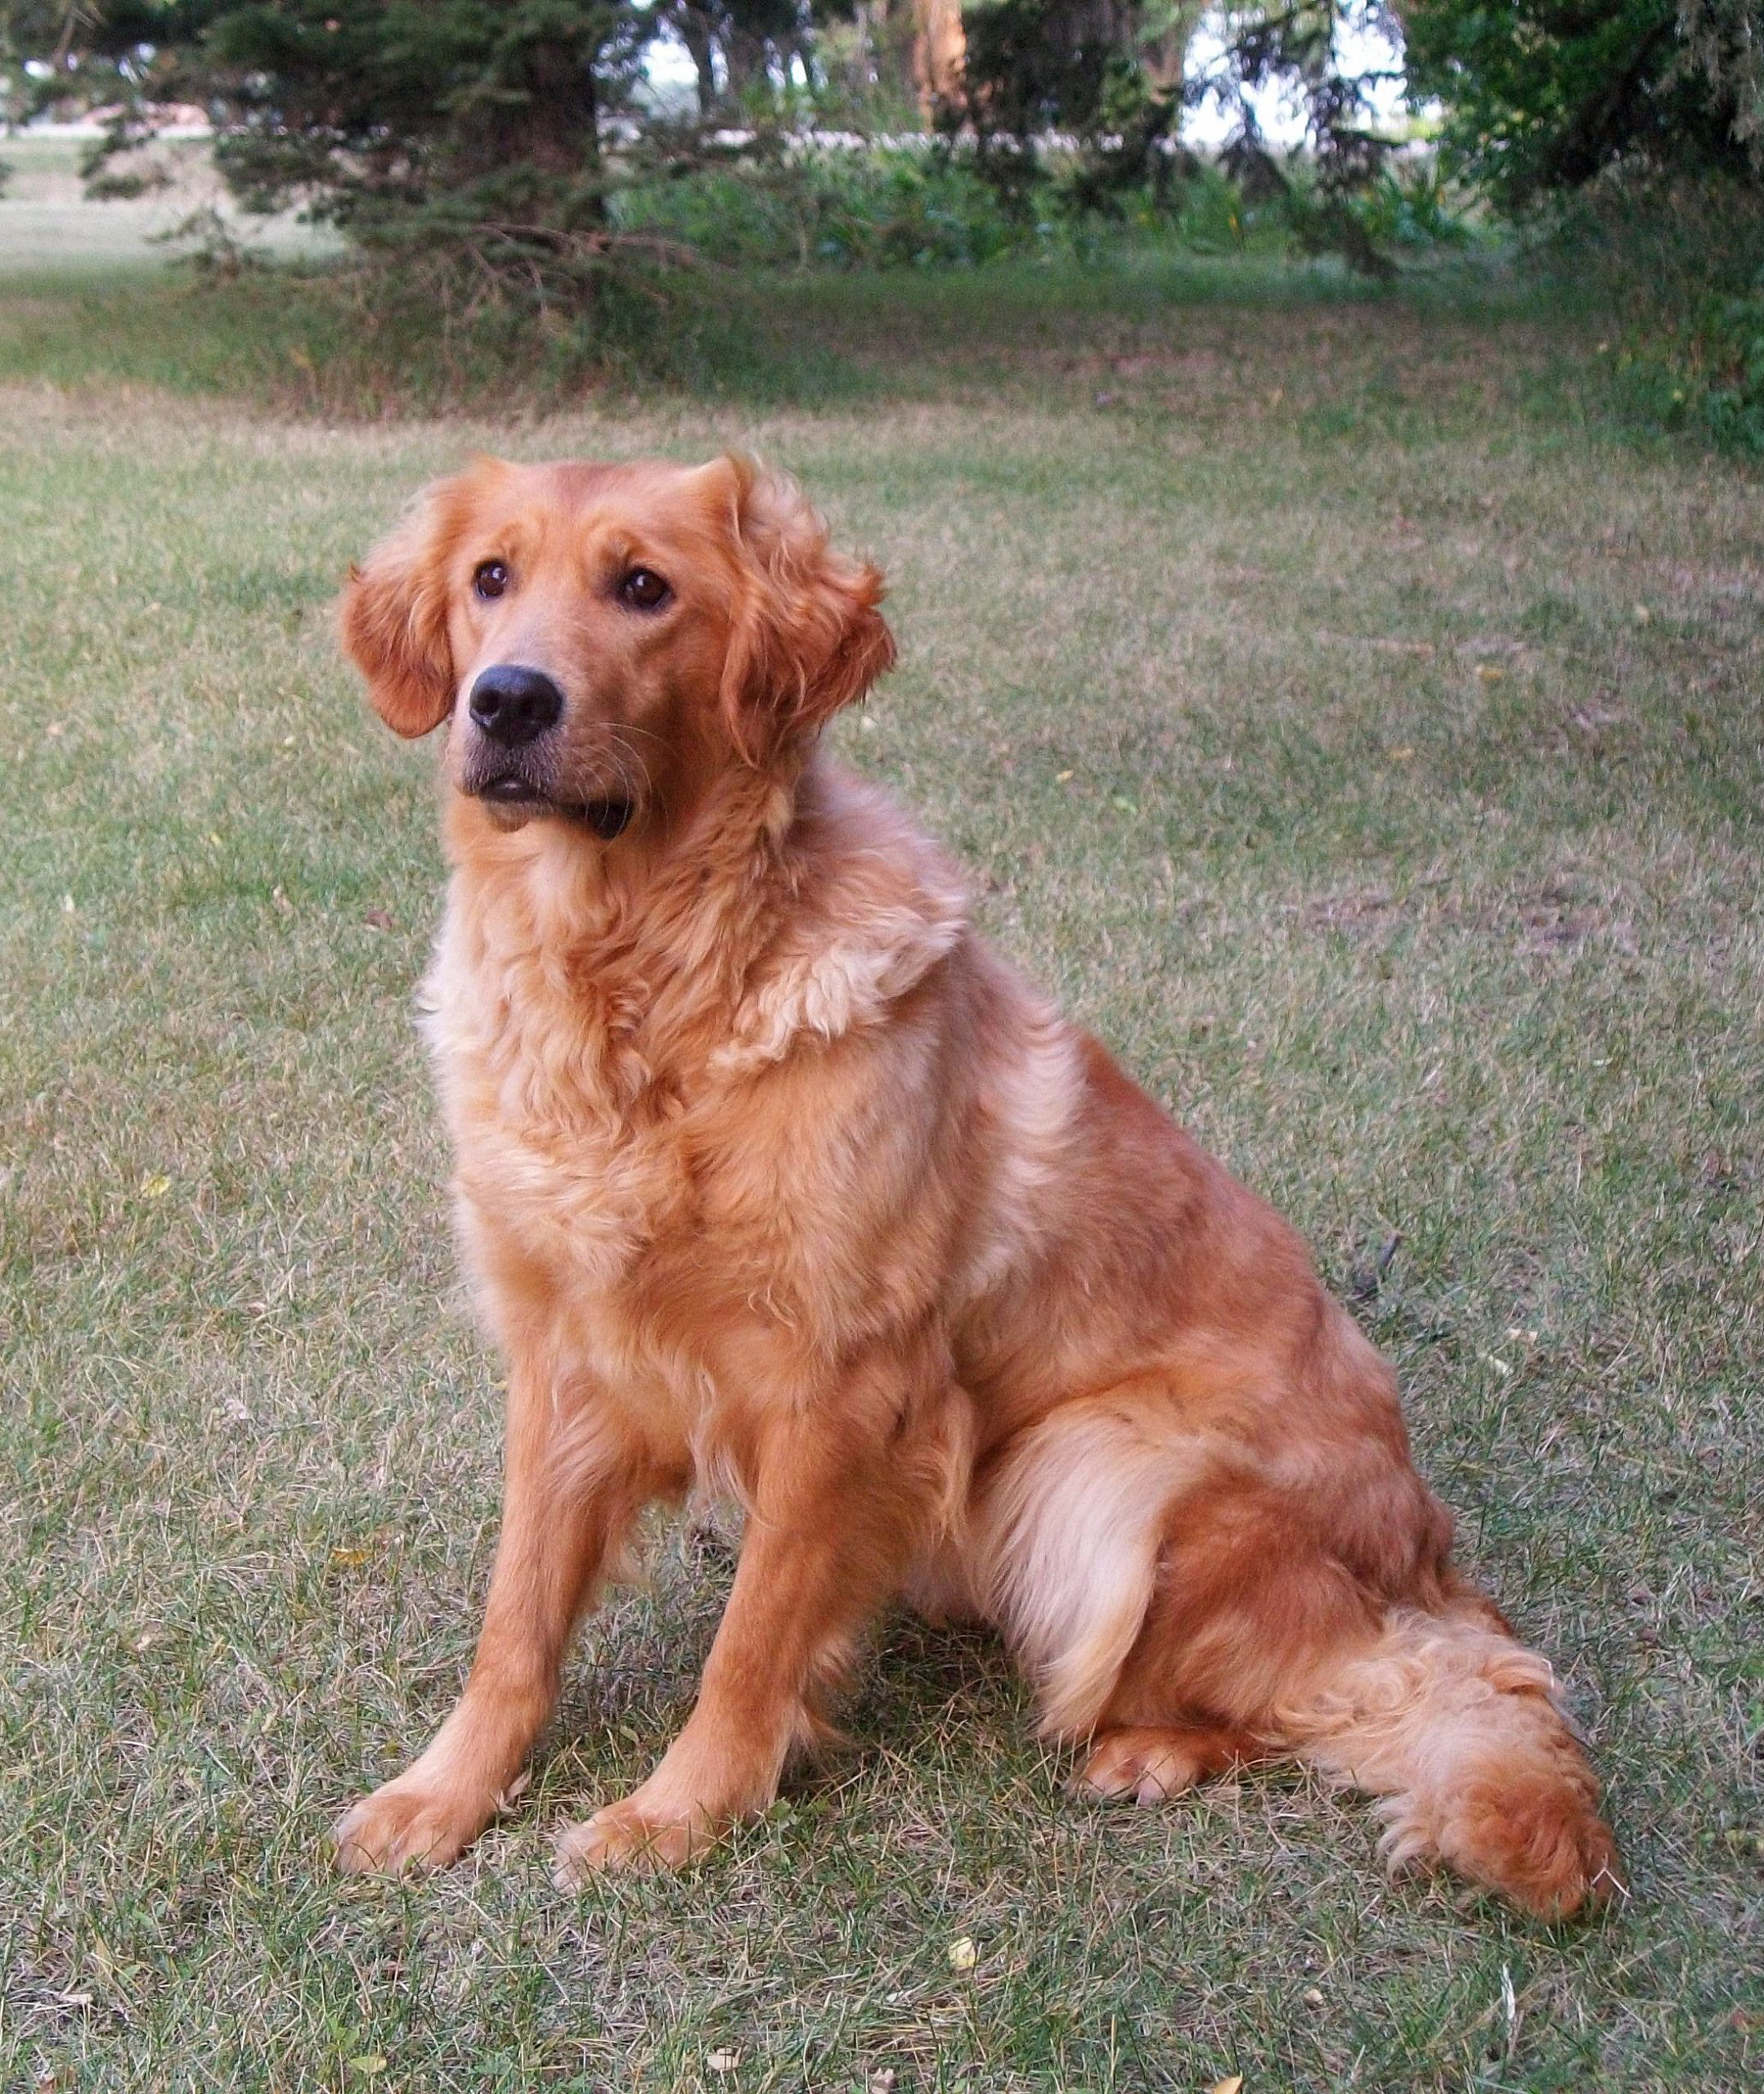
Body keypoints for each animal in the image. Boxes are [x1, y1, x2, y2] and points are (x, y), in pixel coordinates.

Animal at [330, 454, 1632, 1917]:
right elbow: (516, 1619)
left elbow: (749, 1640)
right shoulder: (564, 1356)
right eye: (490, 579)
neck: (644, 984)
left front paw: (681, 1812)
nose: (505, 700)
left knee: (1342, 1687)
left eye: (644, 588)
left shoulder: (845, 1385)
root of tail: (1433, 1557)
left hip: (1091, 1471)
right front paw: (442, 1794)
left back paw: (1152, 1750)